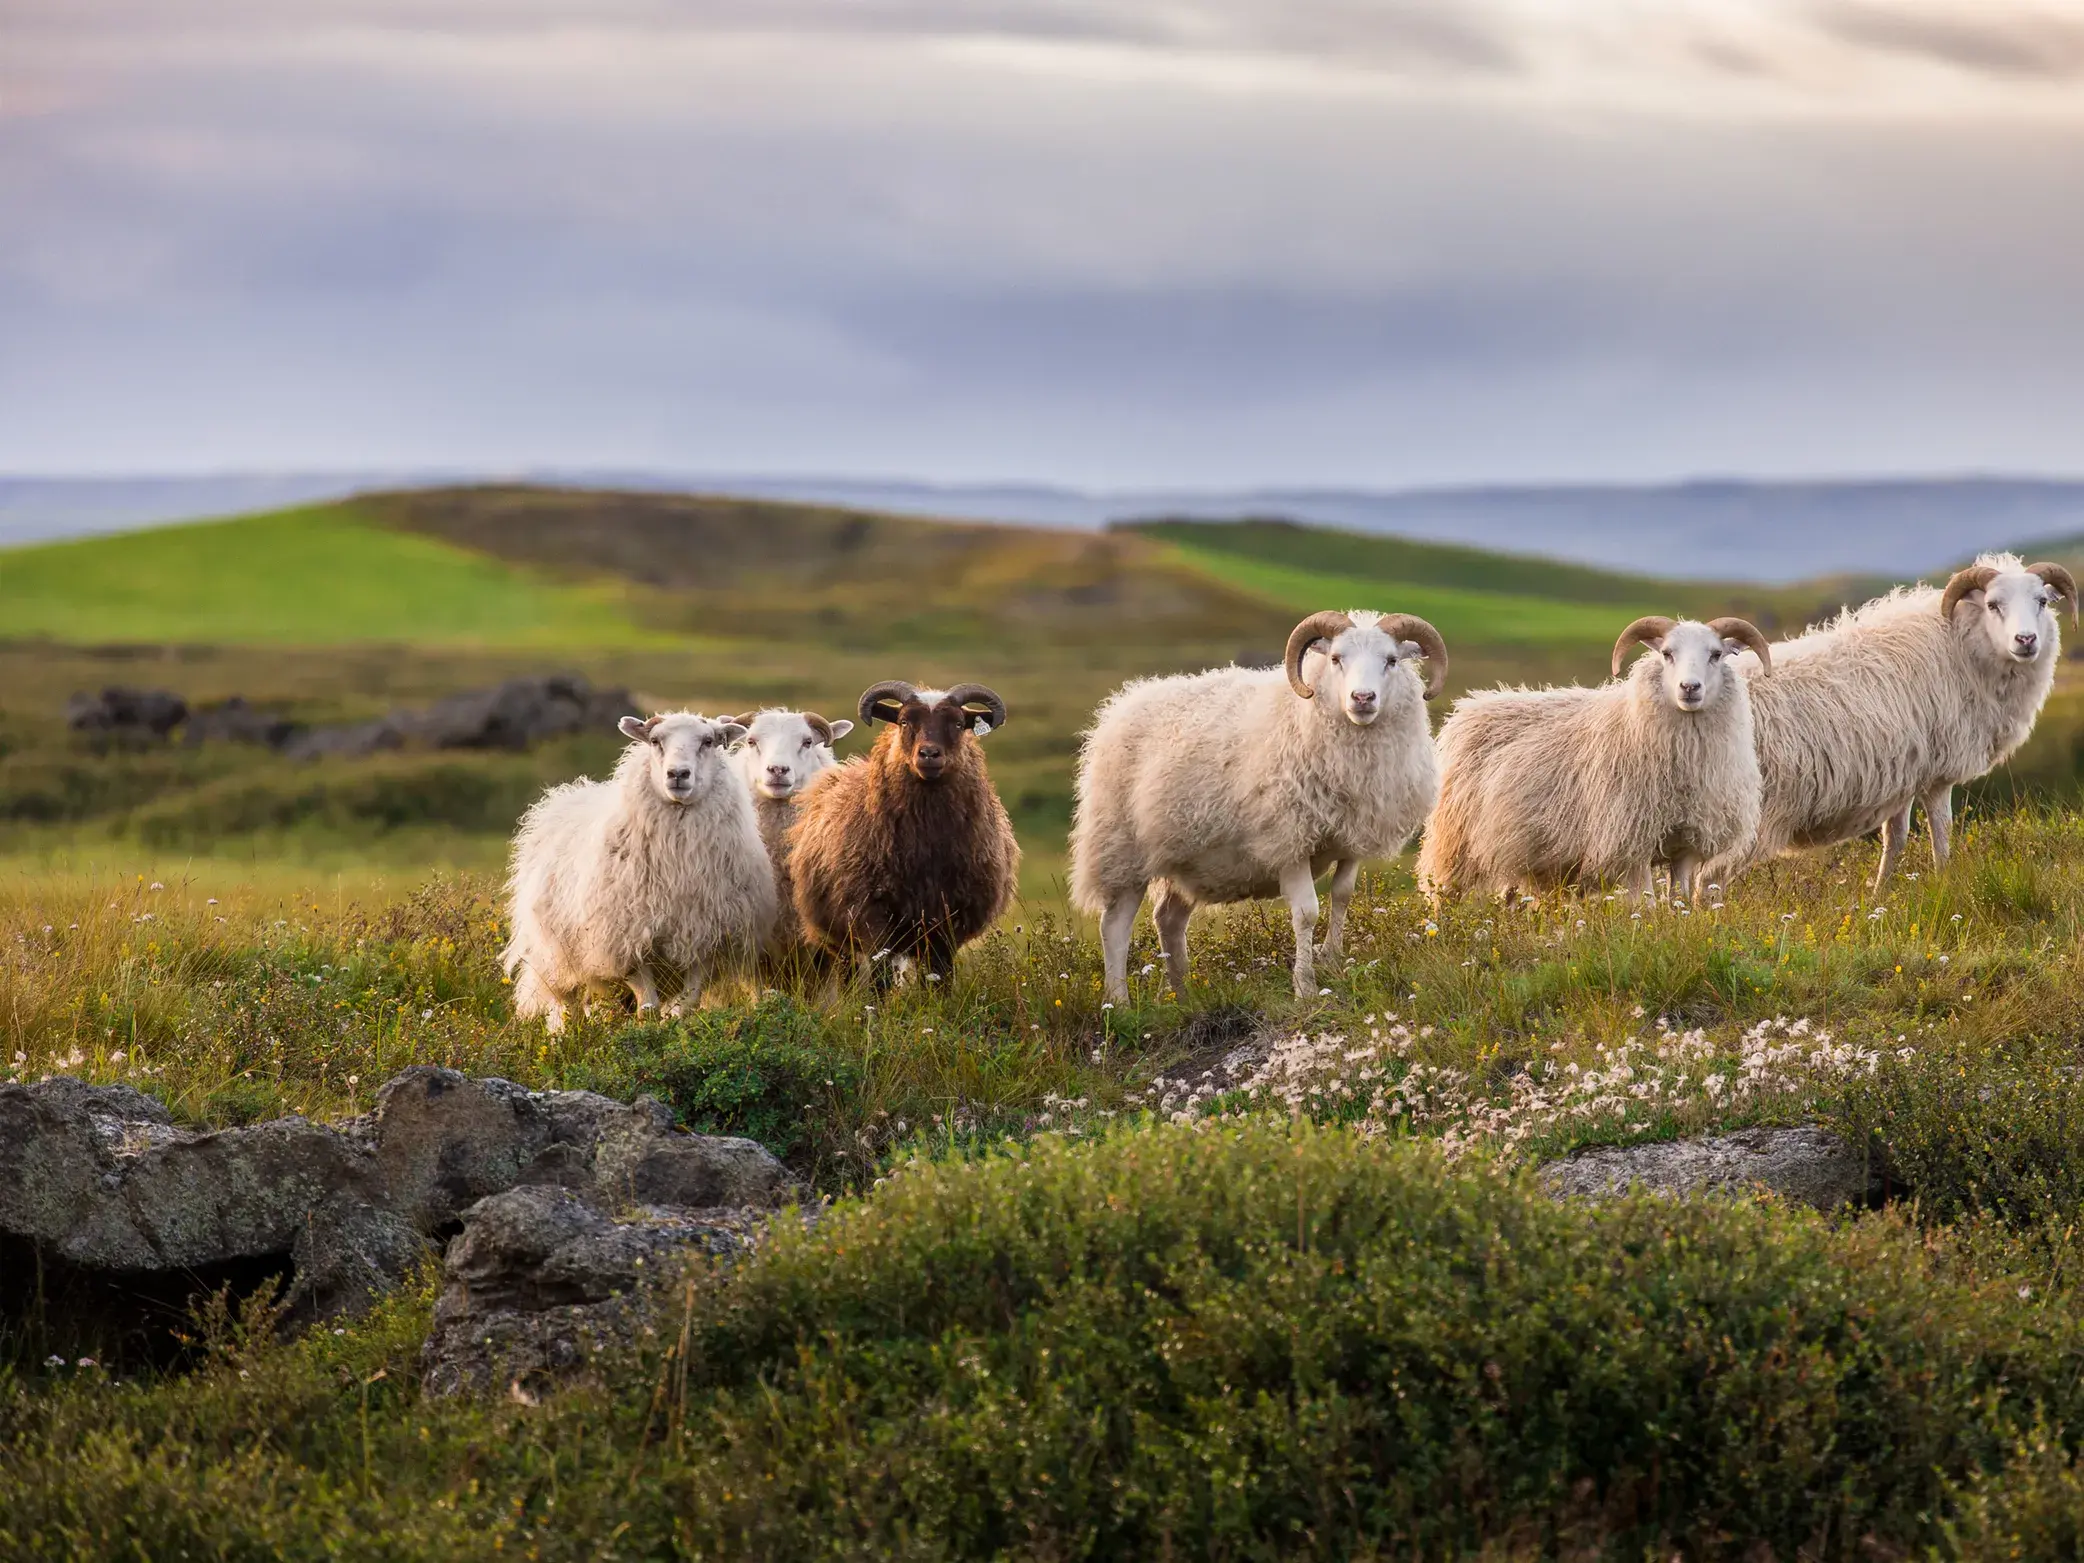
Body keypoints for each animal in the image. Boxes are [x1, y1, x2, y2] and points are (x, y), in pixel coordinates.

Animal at [501, 711, 776, 1031]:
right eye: (655, 741)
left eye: (708, 741)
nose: (678, 774)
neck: (679, 867)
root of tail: (566, 794)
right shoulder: (625, 942)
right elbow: (649, 1008)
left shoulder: (706, 941)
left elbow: (687, 1004)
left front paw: (673, 1025)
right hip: (557, 954)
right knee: (566, 1006)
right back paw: (567, 1036)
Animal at [789, 681, 1020, 985]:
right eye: (903, 721)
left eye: (959, 724)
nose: (929, 754)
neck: (927, 844)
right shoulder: (872, 915)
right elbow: (880, 978)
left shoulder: (948, 919)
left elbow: (940, 975)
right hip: (838, 936)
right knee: (849, 970)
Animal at [1071, 609, 1447, 1004]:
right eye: (1335, 658)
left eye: (1391, 660)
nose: (1362, 698)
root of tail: (1121, 705)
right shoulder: (1289, 839)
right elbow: (1306, 913)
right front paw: (1305, 987)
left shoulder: (1351, 836)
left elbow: (1342, 896)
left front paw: (1332, 959)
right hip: (1121, 849)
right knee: (1114, 926)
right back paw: (1119, 1001)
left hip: (1186, 858)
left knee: (1168, 920)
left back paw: (1182, 994)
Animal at [1416, 615, 1773, 904]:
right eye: (1667, 654)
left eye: (1716, 654)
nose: (1690, 687)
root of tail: (1470, 707)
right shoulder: (1630, 843)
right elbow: (1647, 904)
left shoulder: (1686, 844)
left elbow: (1679, 902)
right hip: (1454, 842)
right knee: (1444, 896)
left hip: (1519, 852)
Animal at [1704, 554, 2076, 894]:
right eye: (1993, 604)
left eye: (2042, 601)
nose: (2026, 640)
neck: (1960, 645)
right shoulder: (1937, 775)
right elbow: (1942, 833)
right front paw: (1946, 885)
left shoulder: (1903, 776)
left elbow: (1895, 839)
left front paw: (1879, 895)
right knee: (1708, 879)